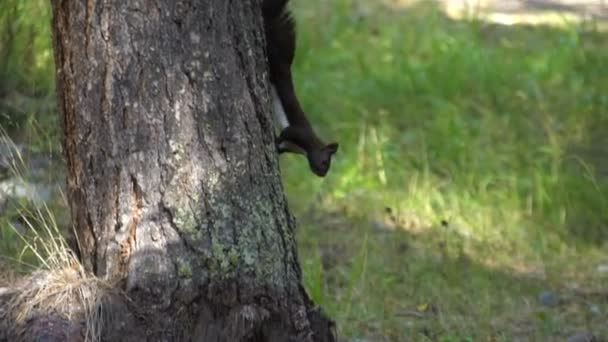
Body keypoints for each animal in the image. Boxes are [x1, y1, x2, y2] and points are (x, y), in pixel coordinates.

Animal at [262, 0, 338, 176]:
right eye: (325, 162)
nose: (322, 174)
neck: (305, 149)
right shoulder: (300, 133)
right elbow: (287, 132)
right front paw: (276, 138)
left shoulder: (290, 146)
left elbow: (281, 148)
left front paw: (276, 147)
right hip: (277, 63)